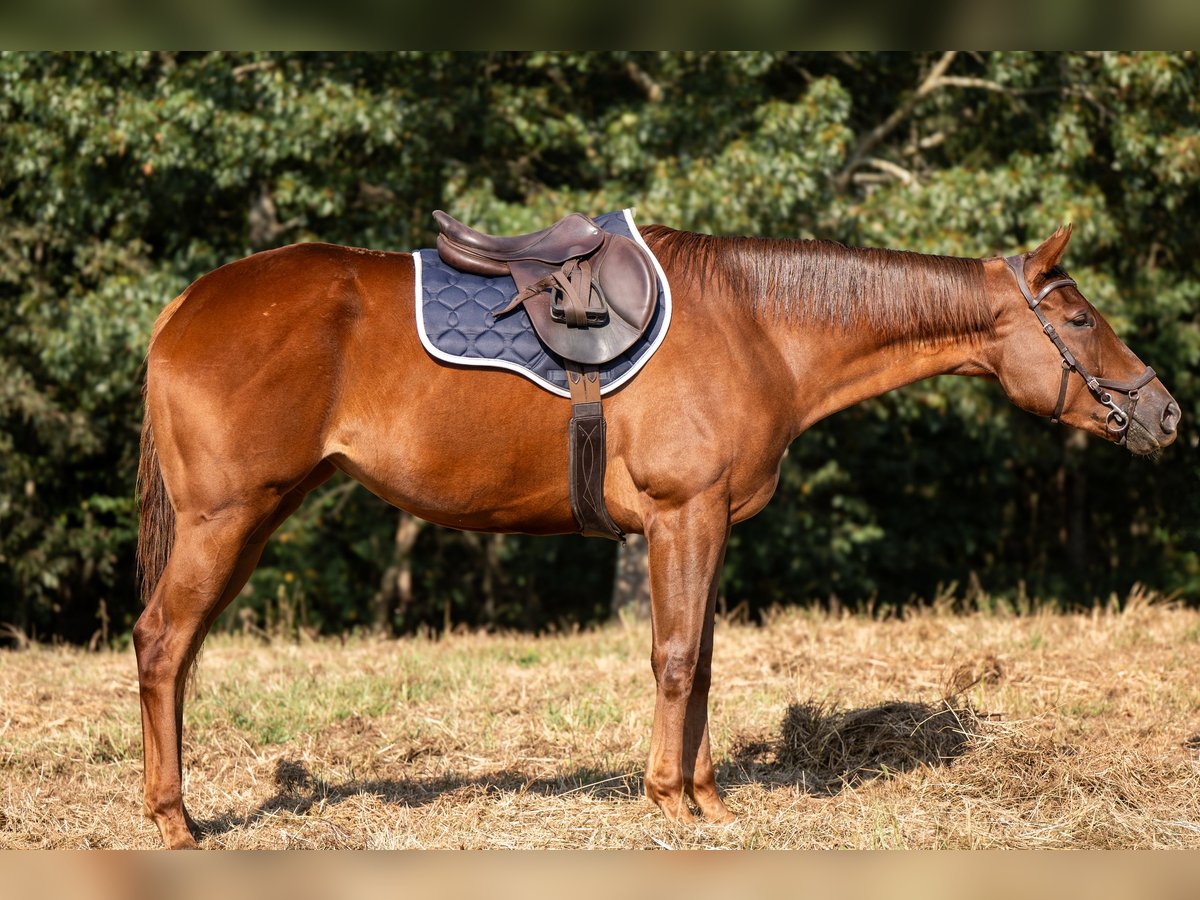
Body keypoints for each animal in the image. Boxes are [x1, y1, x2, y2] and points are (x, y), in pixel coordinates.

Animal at [133, 219, 1180, 848]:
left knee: (174, 654)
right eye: (1078, 318)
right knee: (161, 645)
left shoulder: (711, 526)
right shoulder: (684, 516)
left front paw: (707, 798)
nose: (1165, 413)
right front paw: (667, 798)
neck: (761, 326)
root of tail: (186, 304)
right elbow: (675, 658)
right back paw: (174, 820)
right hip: (227, 520)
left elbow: (705, 659)